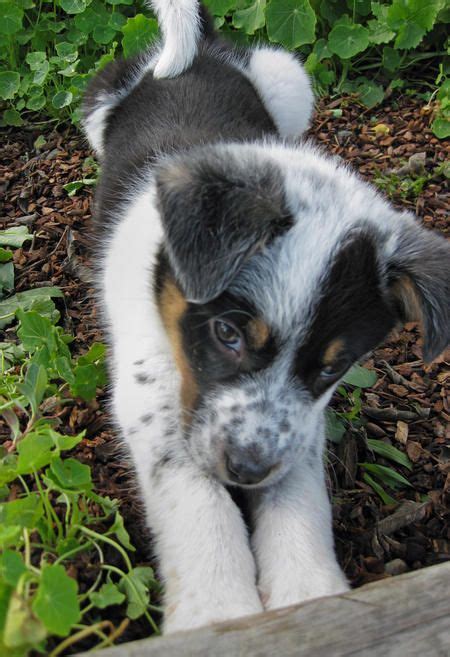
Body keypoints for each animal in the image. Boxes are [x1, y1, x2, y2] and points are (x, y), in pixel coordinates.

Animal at [81, 0, 450, 636]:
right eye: (227, 333)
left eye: (332, 368)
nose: (247, 470)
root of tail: (200, 52)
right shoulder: (150, 388)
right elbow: (194, 496)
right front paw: (217, 609)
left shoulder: (300, 423)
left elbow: (297, 492)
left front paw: (310, 596)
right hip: (98, 102)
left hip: (291, 80)